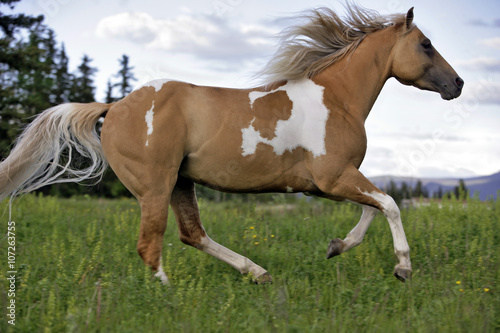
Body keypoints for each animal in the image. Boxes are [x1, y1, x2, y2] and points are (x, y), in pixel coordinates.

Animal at [0, 5, 462, 282]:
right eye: (426, 44)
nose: (457, 84)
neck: (337, 98)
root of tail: (114, 107)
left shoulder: (331, 182)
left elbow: (372, 208)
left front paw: (336, 247)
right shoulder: (332, 177)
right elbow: (390, 204)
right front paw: (403, 267)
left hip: (181, 183)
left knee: (192, 234)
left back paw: (257, 272)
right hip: (155, 185)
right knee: (151, 243)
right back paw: (169, 296)